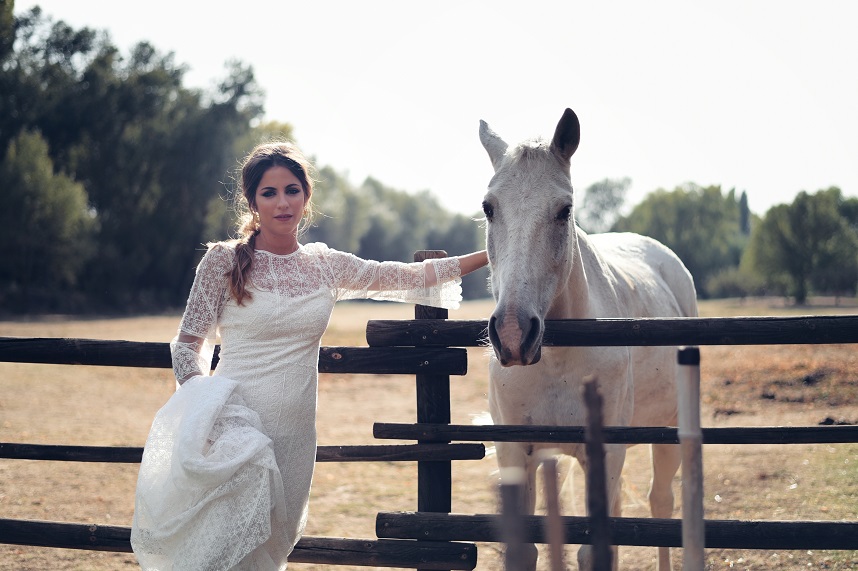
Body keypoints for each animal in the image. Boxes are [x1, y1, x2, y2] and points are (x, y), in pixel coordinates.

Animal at [478, 108, 700, 571]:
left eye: (564, 210)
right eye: (489, 208)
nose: (513, 334)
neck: (558, 359)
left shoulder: (606, 455)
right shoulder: (516, 453)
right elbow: (525, 550)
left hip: (668, 433)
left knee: (662, 504)